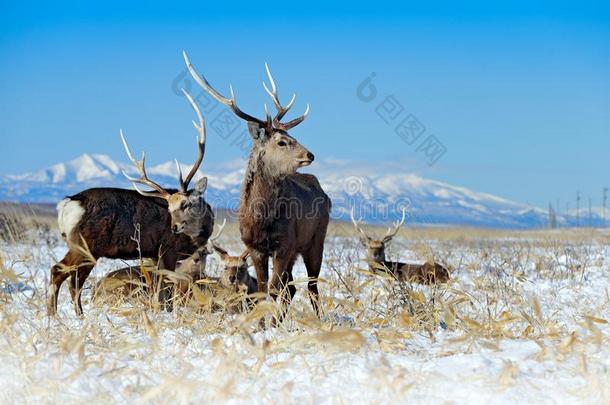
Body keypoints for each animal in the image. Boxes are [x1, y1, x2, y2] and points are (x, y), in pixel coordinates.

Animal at [48, 89, 214, 316]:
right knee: (63, 274)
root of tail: (67, 205)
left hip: (79, 246)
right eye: (169, 207)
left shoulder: (153, 255)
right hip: (86, 245)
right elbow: (167, 290)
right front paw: (168, 314)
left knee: (69, 277)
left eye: (185, 204)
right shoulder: (167, 250)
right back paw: (66, 316)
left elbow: (157, 289)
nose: (174, 226)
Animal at [183, 51, 330, 322]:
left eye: (293, 137)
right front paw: (262, 323)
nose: (310, 154)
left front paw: (270, 324)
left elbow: (274, 288)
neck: (261, 220)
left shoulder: (284, 244)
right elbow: (263, 288)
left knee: (311, 285)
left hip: (316, 239)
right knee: (292, 287)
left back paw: (317, 319)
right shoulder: (255, 247)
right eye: (282, 142)